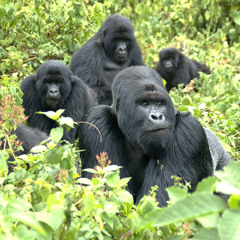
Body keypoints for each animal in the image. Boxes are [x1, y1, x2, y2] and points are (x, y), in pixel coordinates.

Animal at [79, 65, 231, 206]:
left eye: (159, 103)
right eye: (145, 104)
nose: (157, 116)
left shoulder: (188, 132)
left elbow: (157, 202)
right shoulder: (97, 121)